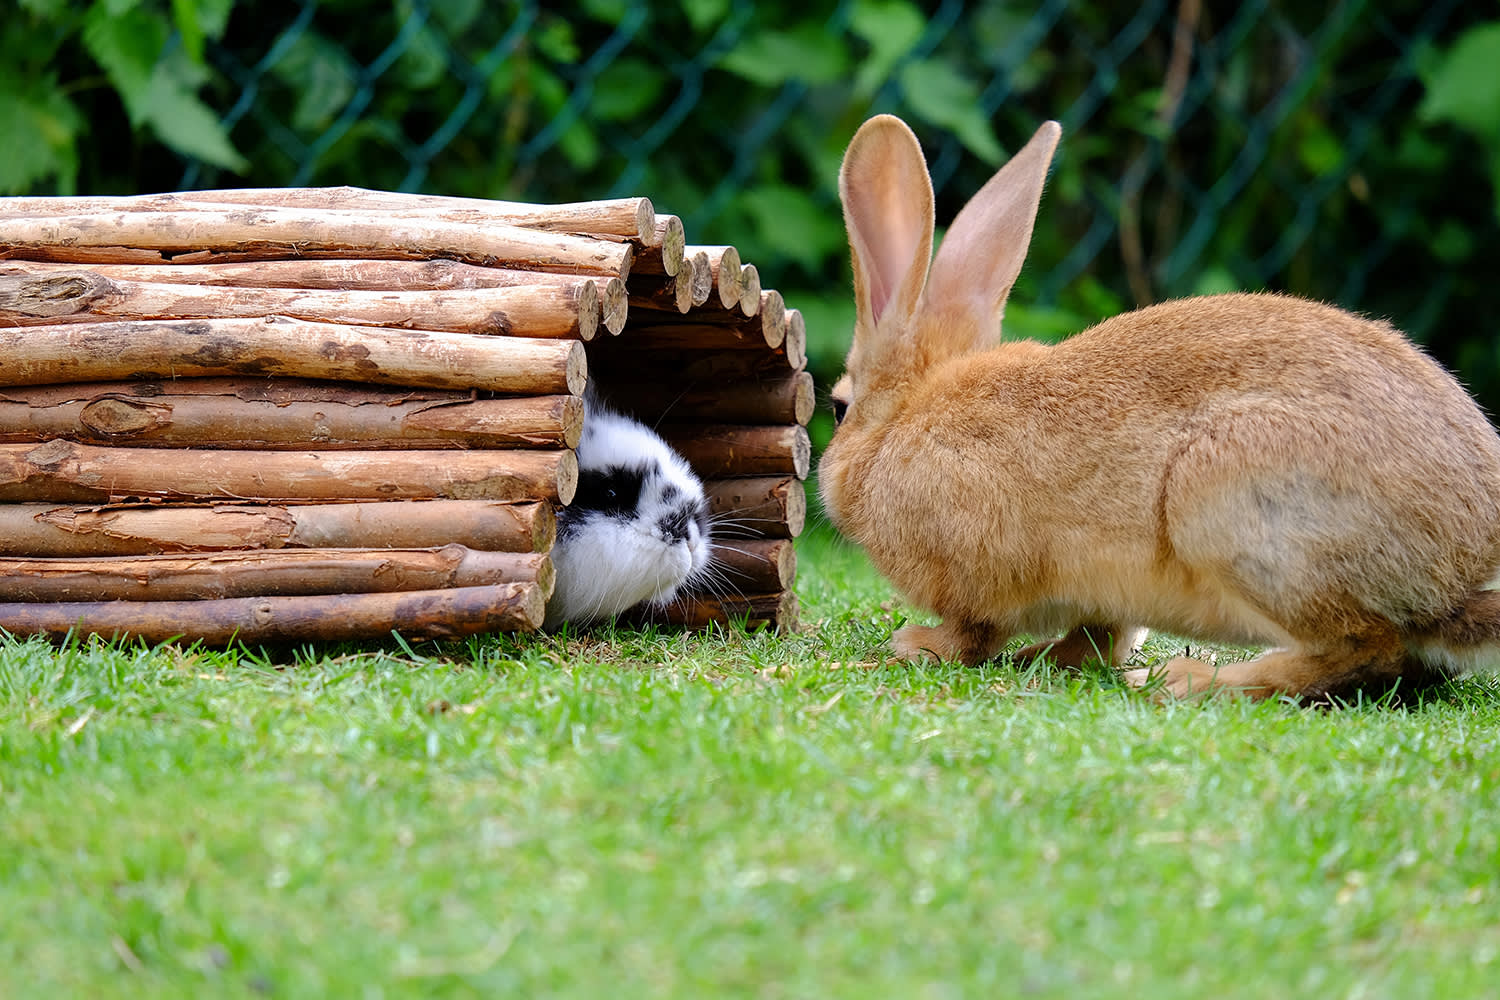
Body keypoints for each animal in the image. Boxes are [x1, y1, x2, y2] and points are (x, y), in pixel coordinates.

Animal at [822, 113, 1500, 701]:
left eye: (837, 408)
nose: (825, 473)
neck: (905, 418)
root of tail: (1464, 569)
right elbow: (1101, 635)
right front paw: (1049, 659)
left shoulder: (981, 575)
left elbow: (977, 632)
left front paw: (915, 645)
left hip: (1231, 503)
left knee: (1367, 650)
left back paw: (1189, 681)